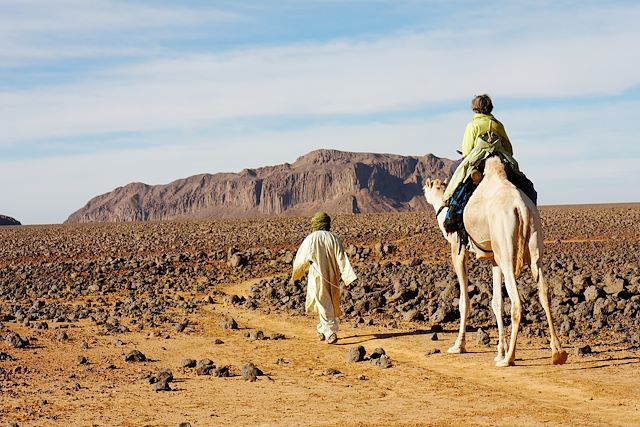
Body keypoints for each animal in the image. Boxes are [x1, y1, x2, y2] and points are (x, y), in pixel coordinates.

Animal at [422, 157, 568, 368]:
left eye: (429, 185)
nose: (423, 187)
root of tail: (520, 207)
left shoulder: (458, 249)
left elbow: (464, 301)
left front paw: (459, 346)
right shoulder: (493, 259)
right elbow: (497, 302)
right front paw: (499, 351)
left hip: (506, 250)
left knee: (516, 303)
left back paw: (509, 359)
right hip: (533, 244)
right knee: (544, 291)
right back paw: (557, 352)